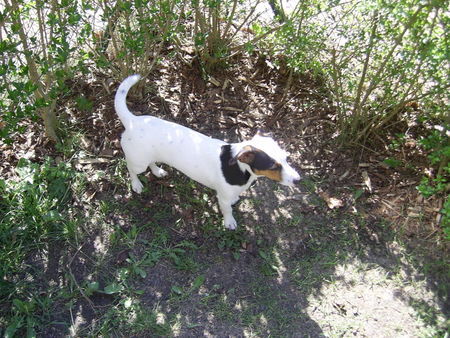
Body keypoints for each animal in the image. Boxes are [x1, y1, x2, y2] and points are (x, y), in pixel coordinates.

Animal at [114, 75, 300, 230]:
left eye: (286, 158)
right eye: (273, 166)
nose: (298, 180)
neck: (241, 169)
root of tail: (132, 121)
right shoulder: (223, 198)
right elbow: (227, 210)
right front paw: (229, 222)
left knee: (152, 162)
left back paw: (157, 171)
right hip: (137, 162)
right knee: (131, 169)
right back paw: (136, 184)